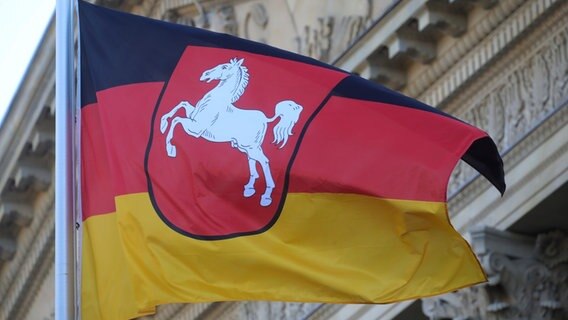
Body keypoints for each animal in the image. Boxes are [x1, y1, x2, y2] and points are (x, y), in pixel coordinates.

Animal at [158, 58, 304, 206]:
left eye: (224, 67)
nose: (205, 74)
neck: (214, 102)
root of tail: (265, 119)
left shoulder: (196, 129)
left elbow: (176, 120)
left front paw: (170, 148)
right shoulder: (192, 116)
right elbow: (181, 105)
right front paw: (163, 123)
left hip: (251, 147)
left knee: (264, 161)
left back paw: (266, 197)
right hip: (246, 147)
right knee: (253, 163)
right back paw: (249, 189)